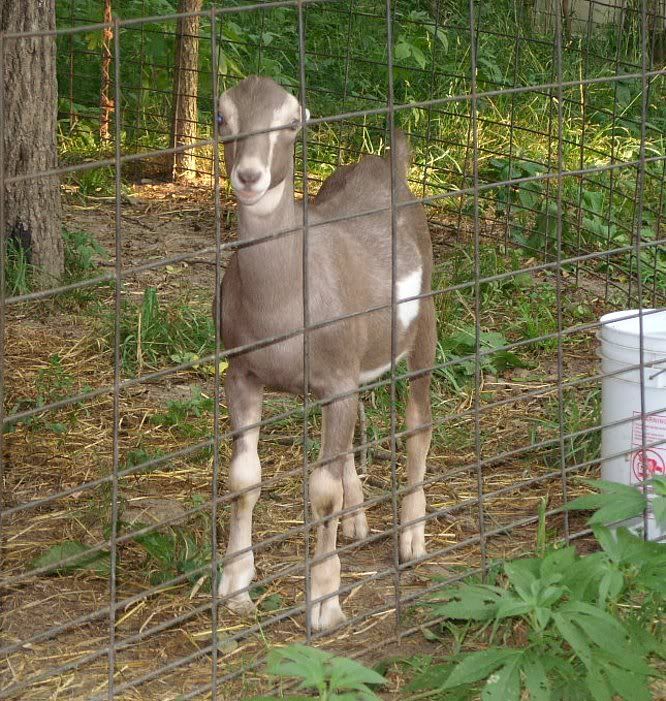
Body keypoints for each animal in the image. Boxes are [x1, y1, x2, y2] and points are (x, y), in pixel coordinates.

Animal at [216, 76, 436, 631]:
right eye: (222, 117)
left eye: (293, 122)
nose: (249, 175)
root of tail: (387, 164)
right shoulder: (242, 373)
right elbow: (244, 478)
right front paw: (235, 584)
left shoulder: (338, 380)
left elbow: (322, 492)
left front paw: (324, 602)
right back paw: (358, 520)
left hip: (425, 320)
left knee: (418, 424)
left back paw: (411, 537)